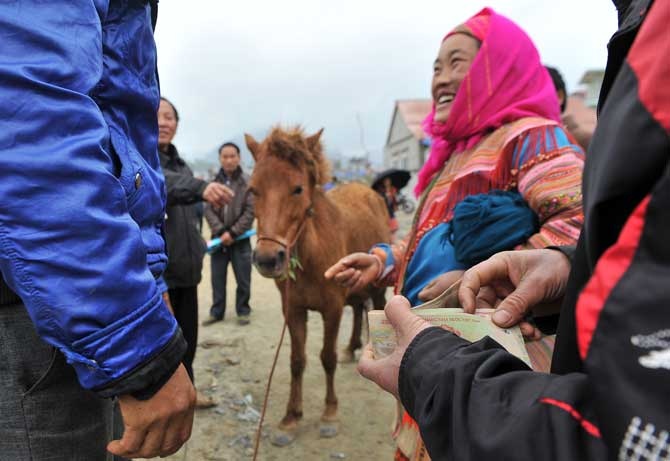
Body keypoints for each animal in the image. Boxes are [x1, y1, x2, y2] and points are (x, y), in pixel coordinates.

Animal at [245, 127, 390, 445]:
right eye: (253, 190)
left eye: (298, 189)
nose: (267, 259)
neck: (311, 256)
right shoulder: (293, 310)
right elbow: (297, 360)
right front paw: (291, 417)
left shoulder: (332, 309)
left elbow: (327, 357)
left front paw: (329, 413)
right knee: (358, 308)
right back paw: (351, 347)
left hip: (376, 284)